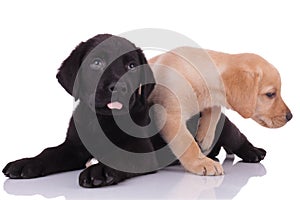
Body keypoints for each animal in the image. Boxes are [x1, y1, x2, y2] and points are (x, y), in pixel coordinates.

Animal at [149, 47, 292, 175]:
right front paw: (201, 162)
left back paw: (254, 151)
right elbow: (187, 143)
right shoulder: (168, 114)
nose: (290, 116)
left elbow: (216, 110)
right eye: (270, 94)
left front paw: (205, 136)